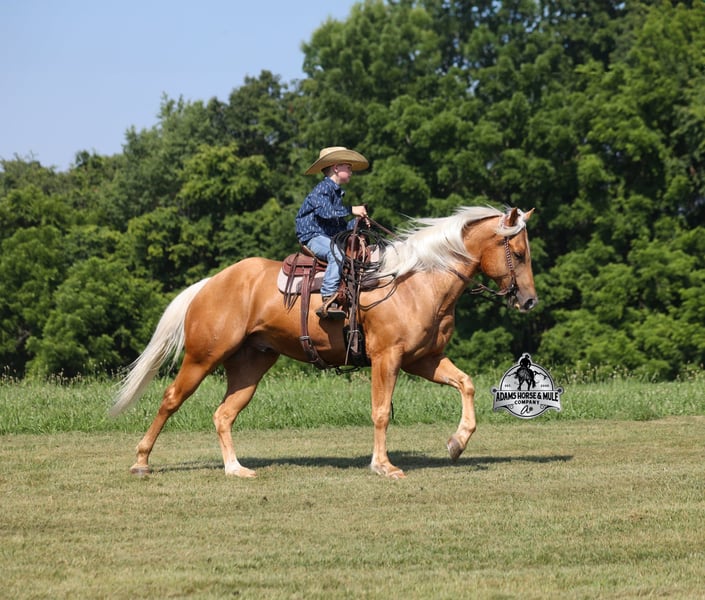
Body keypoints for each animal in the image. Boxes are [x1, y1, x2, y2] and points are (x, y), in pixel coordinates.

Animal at [110, 206, 538, 479]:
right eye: (518, 253)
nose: (529, 301)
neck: (415, 282)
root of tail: (212, 282)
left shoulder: (424, 359)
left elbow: (466, 384)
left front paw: (456, 443)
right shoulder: (387, 358)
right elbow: (381, 412)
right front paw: (384, 466)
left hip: (250, 364)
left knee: (223, 414)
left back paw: (236, 469)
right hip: (204, 356)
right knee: (170, 399)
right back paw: (141, 462)